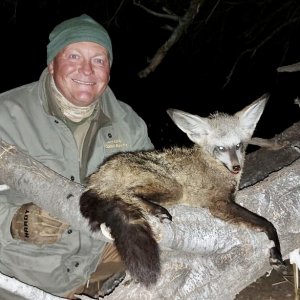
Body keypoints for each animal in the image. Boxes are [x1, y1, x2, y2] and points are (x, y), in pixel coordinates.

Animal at [79, 94, 286, 288]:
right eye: (220, 148)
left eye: (238, 146)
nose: (236, 167)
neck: (215, 166)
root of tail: (99, 175)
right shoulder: (219, 205)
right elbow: (268, 224)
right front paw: (276, 254)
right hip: (174, 189)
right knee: (127, 194)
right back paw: (156, 210)